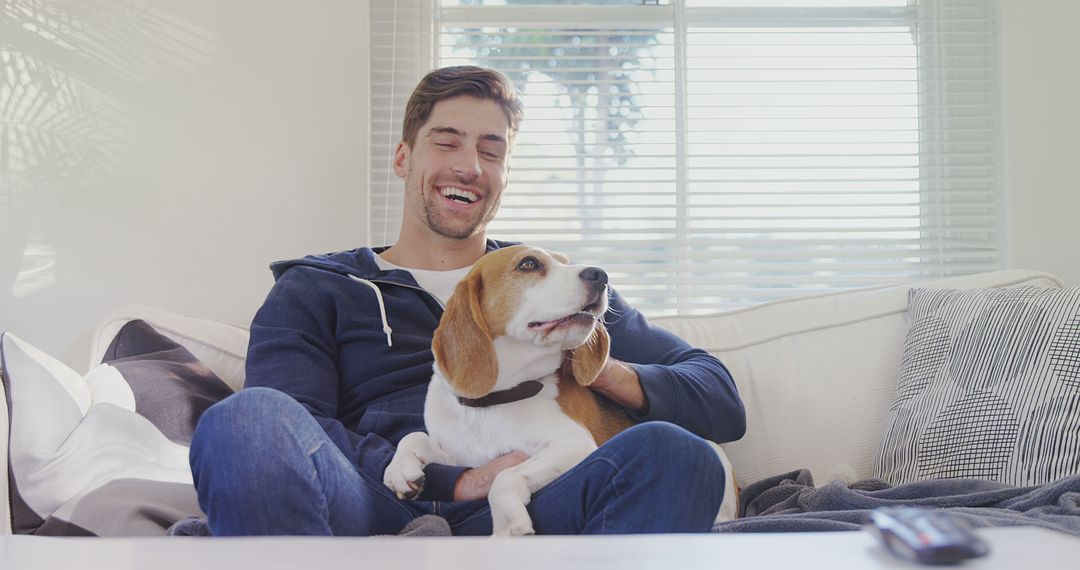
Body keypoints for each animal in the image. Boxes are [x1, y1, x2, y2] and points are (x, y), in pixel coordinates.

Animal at [380, 245, 734, 535]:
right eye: (529, 264)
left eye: (566, 262)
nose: (601, 274)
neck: (495, 401)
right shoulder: (460, 456)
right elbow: (414, 437)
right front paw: (400, 470)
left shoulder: (572, 445)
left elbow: (504, 478)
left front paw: (508, 527)